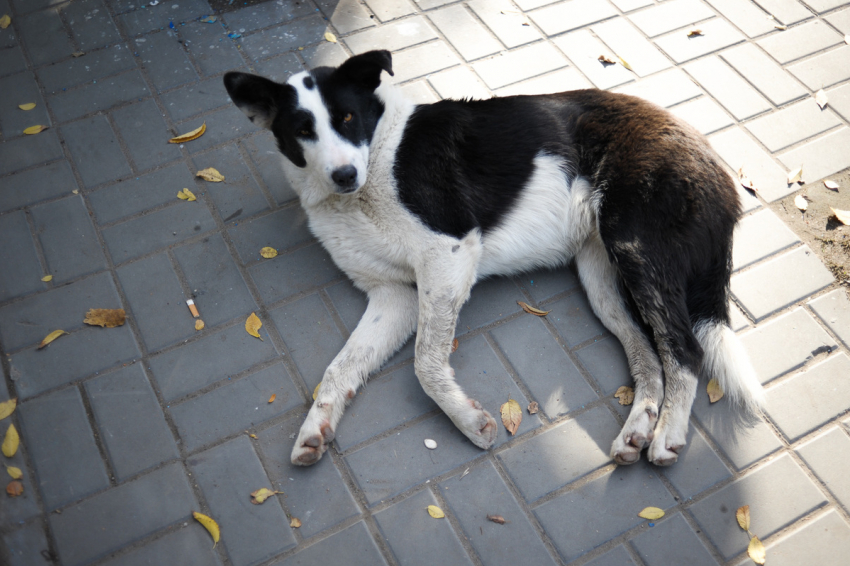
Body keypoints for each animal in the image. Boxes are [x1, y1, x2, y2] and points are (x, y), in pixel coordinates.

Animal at [222, 51, 764, 470]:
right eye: (302, 130)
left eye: (348, 119)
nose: (343, 175)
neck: (377, 162)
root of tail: (714, 161)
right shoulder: (393, 296)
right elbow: (337, 370)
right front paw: (315, 429)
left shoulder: (449, 253)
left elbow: (425, 363)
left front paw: (469, 422)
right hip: (603, 277)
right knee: (650, 354)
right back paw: (638, 429)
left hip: (636, 248)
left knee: (685, 350)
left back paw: (668, 434)